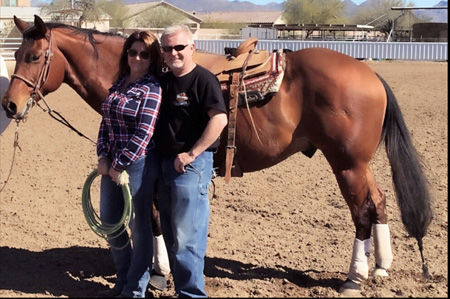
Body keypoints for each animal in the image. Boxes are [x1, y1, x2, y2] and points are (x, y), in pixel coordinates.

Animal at [1, 14, 434, 296]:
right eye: (18, 54)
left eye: (35, 57)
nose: (10, 105)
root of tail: (369, 73)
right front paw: (161, 269)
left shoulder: (152, 165)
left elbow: (154, 216)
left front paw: (158, 272)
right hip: (359, 164)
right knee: (379, 203)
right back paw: (381, 268)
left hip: (346, 163)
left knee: (361, 210)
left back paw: (353, 278)